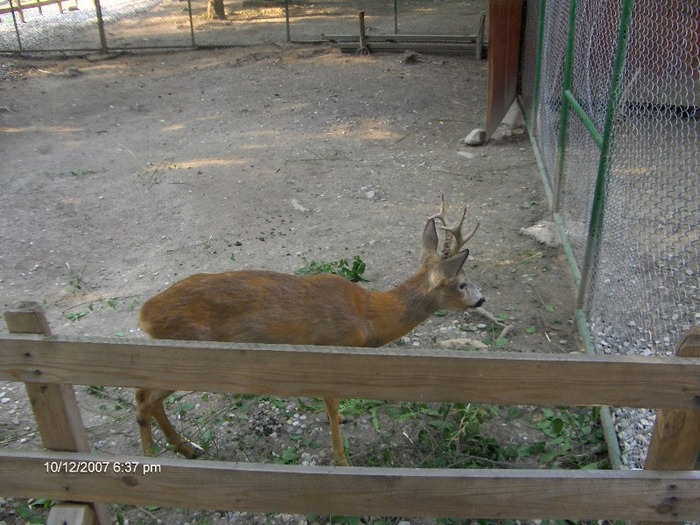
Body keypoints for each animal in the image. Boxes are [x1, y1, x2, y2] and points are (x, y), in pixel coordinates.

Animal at [137, 195, 486, 462]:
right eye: (462, 283)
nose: (481, 299)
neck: (370, 315)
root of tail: (145, 314)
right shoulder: (333, 350)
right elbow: (330, 408)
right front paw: (342, 460)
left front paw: (344, 420)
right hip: (188, 350)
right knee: (144, 398)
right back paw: (153, 458)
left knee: (148, 396)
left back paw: (186, 449)